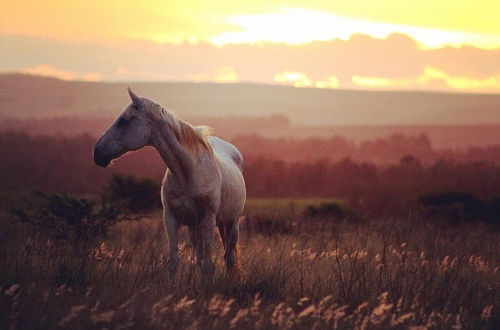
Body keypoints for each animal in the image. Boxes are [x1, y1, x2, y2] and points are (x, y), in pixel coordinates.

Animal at [93, 88, 246, 282]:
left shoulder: (208, 219)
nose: (97, 153)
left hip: (231, 223)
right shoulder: (171, 218)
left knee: (230, 257)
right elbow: (174, 261)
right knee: (203, 256)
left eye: (124, 121)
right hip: (195, 227)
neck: (189, 172)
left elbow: (208, 265)